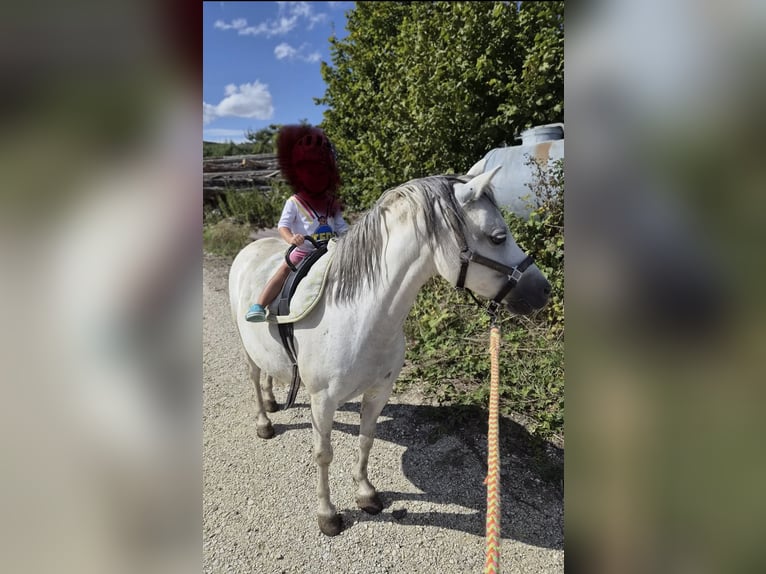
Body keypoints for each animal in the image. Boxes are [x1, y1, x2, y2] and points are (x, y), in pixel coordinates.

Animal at [228, 166, 551, 536]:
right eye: (498, 237)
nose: (544, 290)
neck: (359, 315)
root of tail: (252, 247)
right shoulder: (322, 401)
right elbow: (323, 454)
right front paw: (327, 514)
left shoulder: (379, 391)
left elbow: (366, 439)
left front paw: (366, 494)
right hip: (246, 346)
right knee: (255, 378)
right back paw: (264, 421)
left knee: (268, 373)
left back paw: (271, 401)